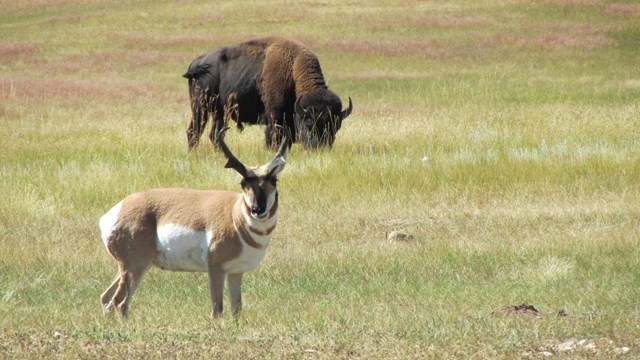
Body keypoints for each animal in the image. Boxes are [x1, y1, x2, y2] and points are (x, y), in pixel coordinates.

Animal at [98, 127, 288, 318]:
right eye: (243, 182)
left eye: (274, 180)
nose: (257, 209)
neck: (235, 215)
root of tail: (115, 212)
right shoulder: (215, 269)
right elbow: (217, 309)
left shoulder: (235, 272)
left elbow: (237, 309)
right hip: (135, 266)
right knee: (119, 302)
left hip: (131, 267)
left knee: (106, 298)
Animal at [182, 36, 352, 149]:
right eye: (309, 123)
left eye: (336, 126)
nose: (319, 149)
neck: (292, 69)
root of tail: (197, 62)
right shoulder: (274, 116)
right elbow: (273, 137)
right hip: (200, 108)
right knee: (194, 132)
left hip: (220, 113)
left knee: (215, 135)